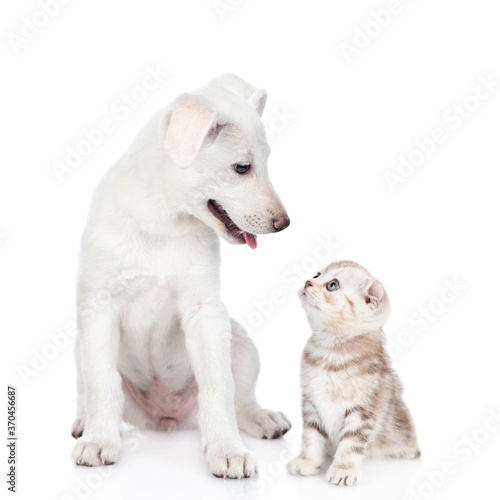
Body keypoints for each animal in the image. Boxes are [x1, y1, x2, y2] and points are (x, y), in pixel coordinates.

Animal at [68, 73, 292, 476]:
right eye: (242, 168)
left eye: (267, 162)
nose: (284, 224)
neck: (163, 220)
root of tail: (166, 419)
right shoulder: (98, 308)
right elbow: (101, 382)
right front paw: (99, 442)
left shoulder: (205, 312)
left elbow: (220, 386)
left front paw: (227, 451)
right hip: (79, 345)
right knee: (86, 387)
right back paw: (84, 423)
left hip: (240, 342)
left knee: (241, 399)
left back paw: (261, 418)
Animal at [288, 260, 420, 486]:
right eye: (317, 275)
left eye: (332, 285)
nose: (307, 282)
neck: (330, 353)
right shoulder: (311, 403)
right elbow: (311, 437)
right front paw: (307, 461)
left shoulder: (363, 410)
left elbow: (351, 443)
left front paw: (343, 469)